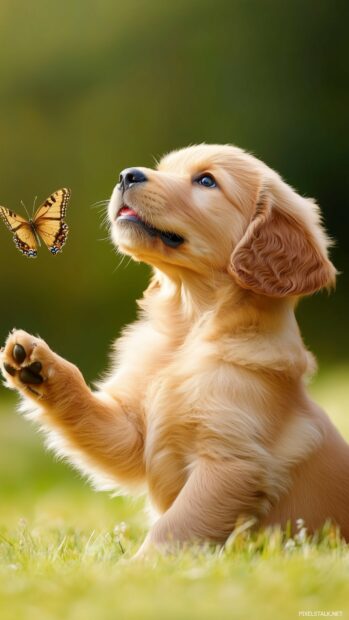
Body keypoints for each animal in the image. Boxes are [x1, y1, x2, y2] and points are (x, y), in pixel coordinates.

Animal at [1, 147, 346, 556]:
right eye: (164, 169)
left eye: (207, 181)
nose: (126, 175)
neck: (188, 329)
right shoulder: (132, 433)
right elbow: (90, 415)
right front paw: (36, 364)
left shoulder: (232, 462)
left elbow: (174, 527)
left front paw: (141, 568)